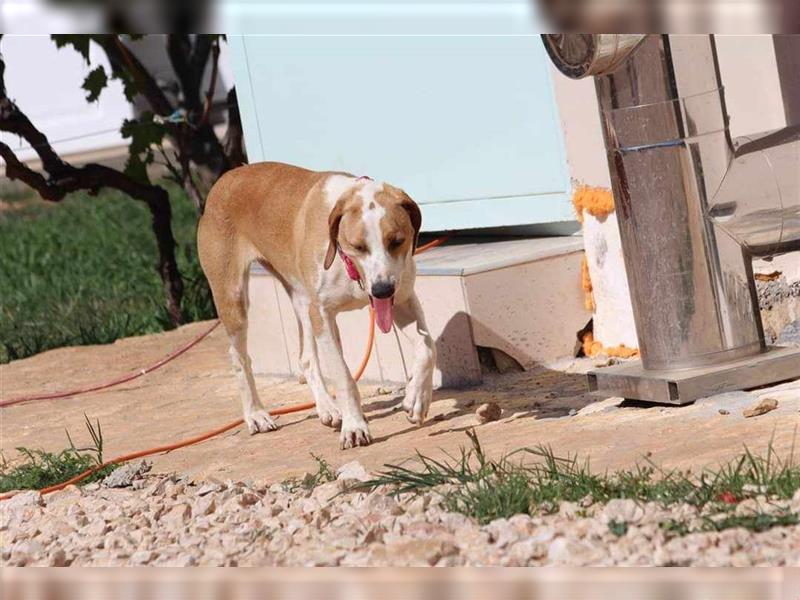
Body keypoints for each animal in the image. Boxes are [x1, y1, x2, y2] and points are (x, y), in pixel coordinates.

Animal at [200, 162, 438, 448]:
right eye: (358, 246)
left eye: (397, 241)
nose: (381, 290)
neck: (350, 269)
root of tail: (225, 178)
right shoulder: (323, 315)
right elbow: (344, 376)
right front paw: (355, 427)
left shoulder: (400, 300)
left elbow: (427, 347)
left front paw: (417, 398)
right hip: (235, 298)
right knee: (239, 357)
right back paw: (256, 414)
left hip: (302, 300)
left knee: (305, 359)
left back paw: (328, 408)